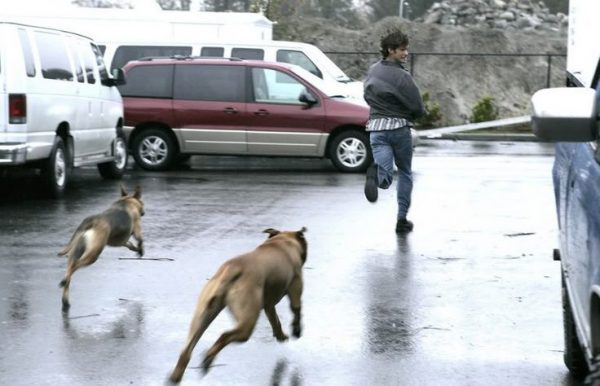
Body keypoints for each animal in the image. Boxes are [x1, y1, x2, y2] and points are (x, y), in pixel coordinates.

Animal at [169, 228, 310, 382]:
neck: (282, 240)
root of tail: (231, 269)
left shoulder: (269, 305)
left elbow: (275, 320)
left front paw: (281, 335)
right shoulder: (296, 287)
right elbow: (296, 310)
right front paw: (297, 330)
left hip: (203, 315)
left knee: (188, 348)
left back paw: (176, 375)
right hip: (246, 323)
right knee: (224, 336)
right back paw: (208, 358)